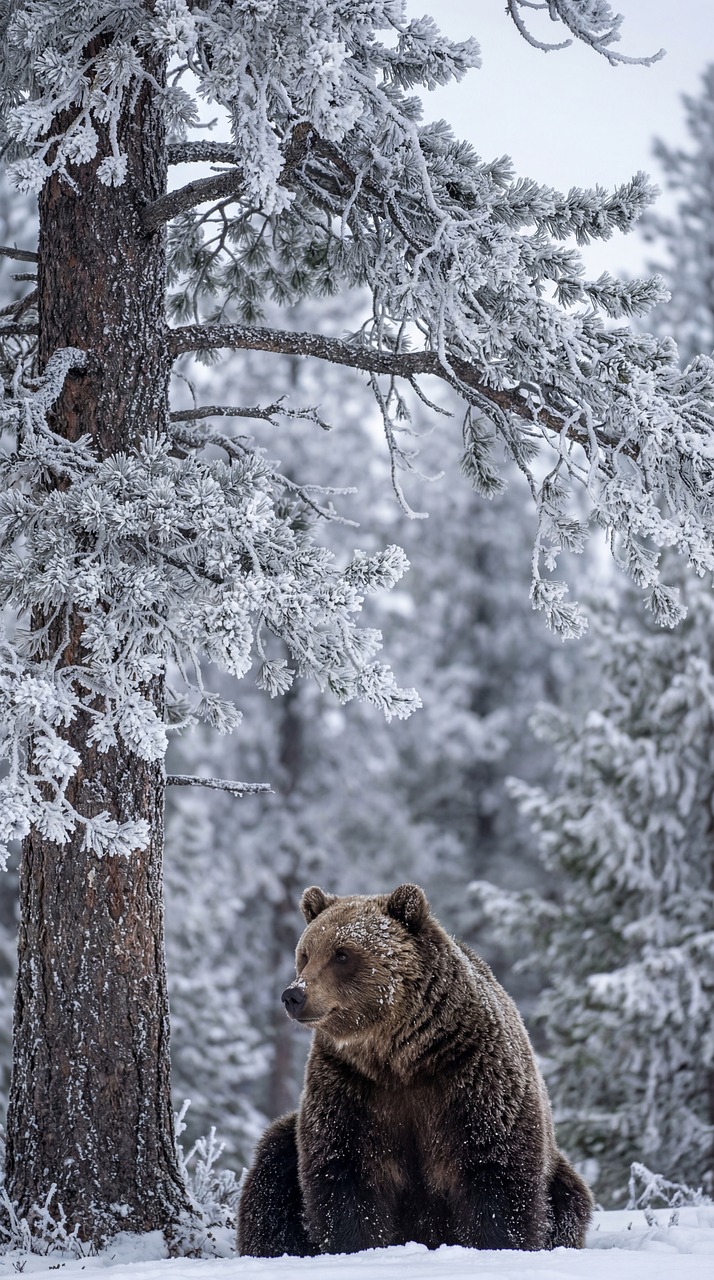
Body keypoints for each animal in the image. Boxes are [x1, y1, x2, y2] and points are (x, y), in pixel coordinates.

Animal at [238, 883, 593, 1257]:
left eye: (342, 954)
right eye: (305, 954)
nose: (294, 995)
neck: (401, 1057)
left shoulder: (474, 1078)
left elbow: (497, 1173)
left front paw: (497, 1246)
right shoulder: (350, 1086)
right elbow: (344, 1173)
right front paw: (356, 1247)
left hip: (561, 1177)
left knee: (570, 1199)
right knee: (271, 1171)